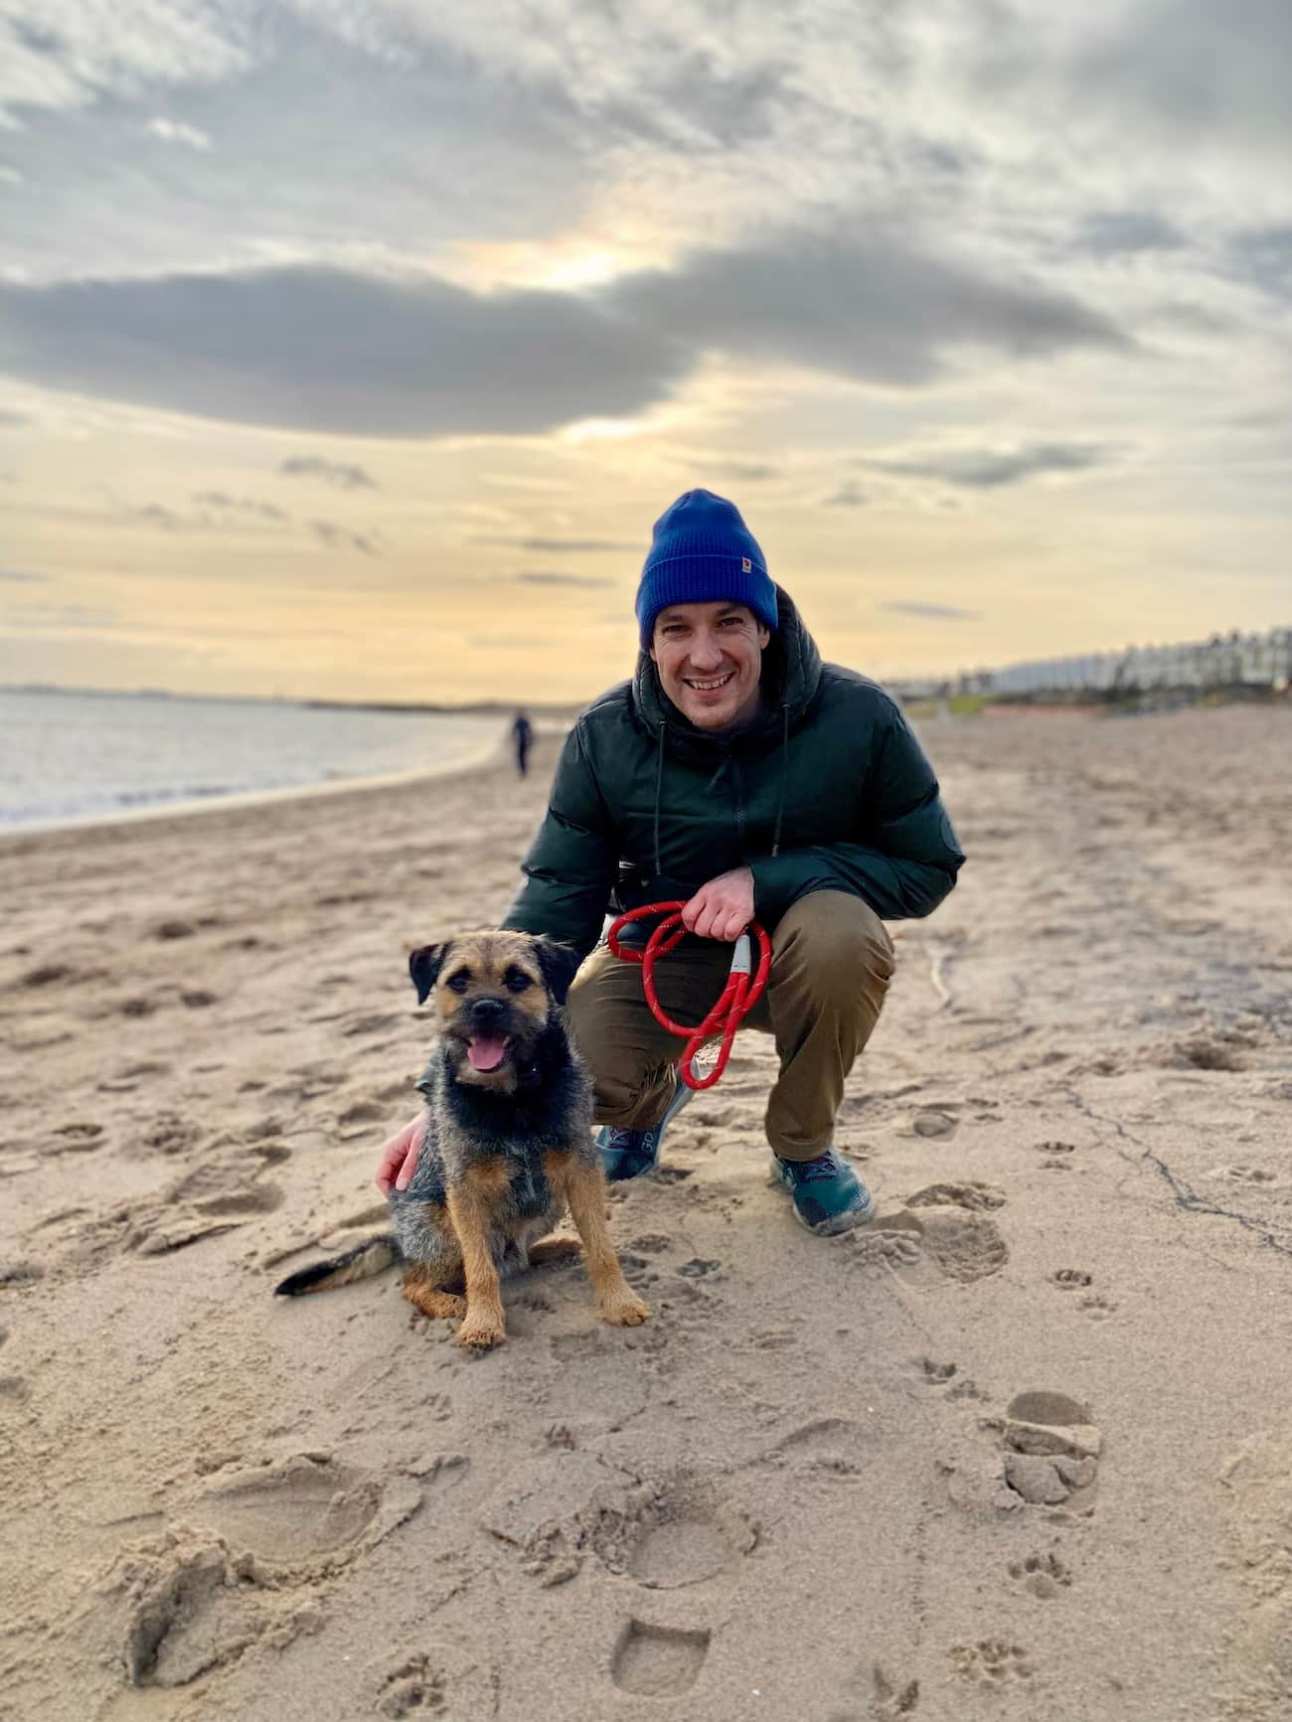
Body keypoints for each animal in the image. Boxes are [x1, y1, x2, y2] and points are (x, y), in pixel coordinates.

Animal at [277, 936, 651, 1350]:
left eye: (517, 979)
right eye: (458, 981)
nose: (485, 1007)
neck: (510, 1097)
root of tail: (399, 1239)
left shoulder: (580, 1170)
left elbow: (601, 1248)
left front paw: (620, 1301)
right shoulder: (465, 1192)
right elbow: (479, 1270)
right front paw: (482, 1322)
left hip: (549, 1204)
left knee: (516, 1257)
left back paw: (550, 1249)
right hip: (441, 1229)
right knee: (416, 1283)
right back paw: (451, 1302)